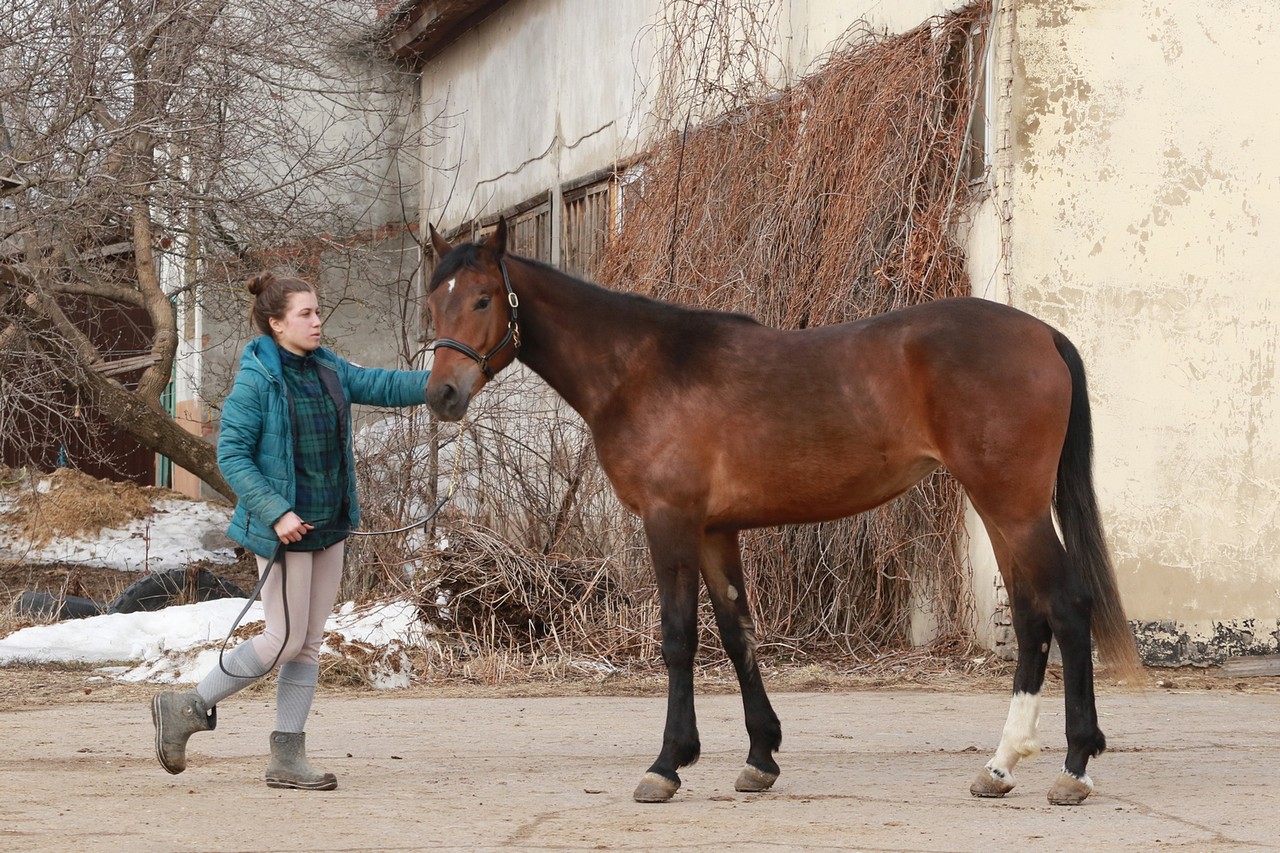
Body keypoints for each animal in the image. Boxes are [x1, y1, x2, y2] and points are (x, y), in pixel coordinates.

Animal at [423, 218, 1143, 806]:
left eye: (483, 298)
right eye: (434, 300)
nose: (442, 395)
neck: (641, 369)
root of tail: (1043, 334)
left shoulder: (670, 521)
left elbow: (679, 637)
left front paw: (667, 764)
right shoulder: (715, 531)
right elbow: (737, 632)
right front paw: (760, 757)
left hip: (1014, 507)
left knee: (1068, 607)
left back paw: (1075, 767)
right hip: (999, 510)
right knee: (1029, 618)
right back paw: (1000, 766)